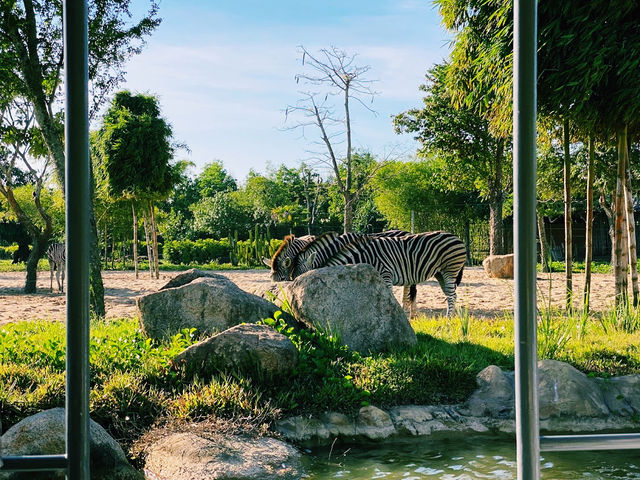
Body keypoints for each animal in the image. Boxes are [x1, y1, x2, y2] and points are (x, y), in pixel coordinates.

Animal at [296, 232, 464, 316]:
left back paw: (448, 320)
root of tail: (456, 236)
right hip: (440, 273)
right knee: (452, 295)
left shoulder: (385, 275)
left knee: (451, 296)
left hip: (450, 269)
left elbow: (389, 298)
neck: (365, 257)